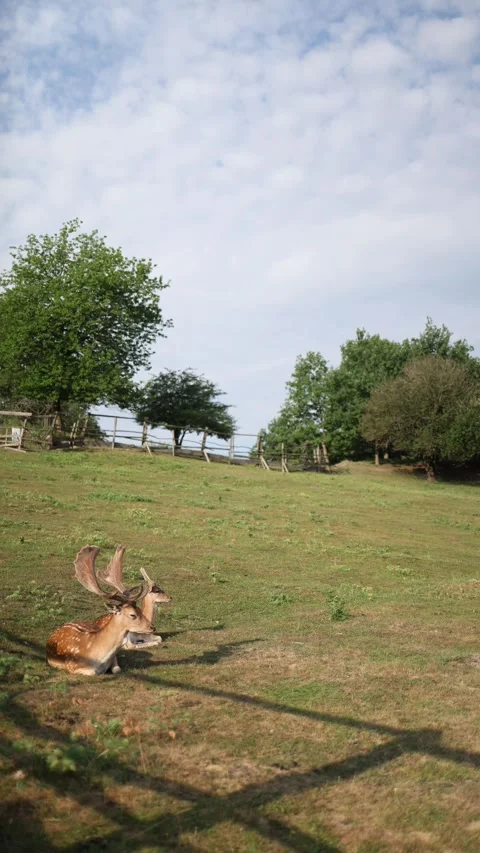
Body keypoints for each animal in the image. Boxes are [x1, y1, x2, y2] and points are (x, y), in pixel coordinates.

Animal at [46, 545, 154, 676]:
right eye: (132, 615)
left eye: (140, 609)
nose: (152, 627)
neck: (98, 658)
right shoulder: (71, 665)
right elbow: (93, 672)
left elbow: (117, 669)